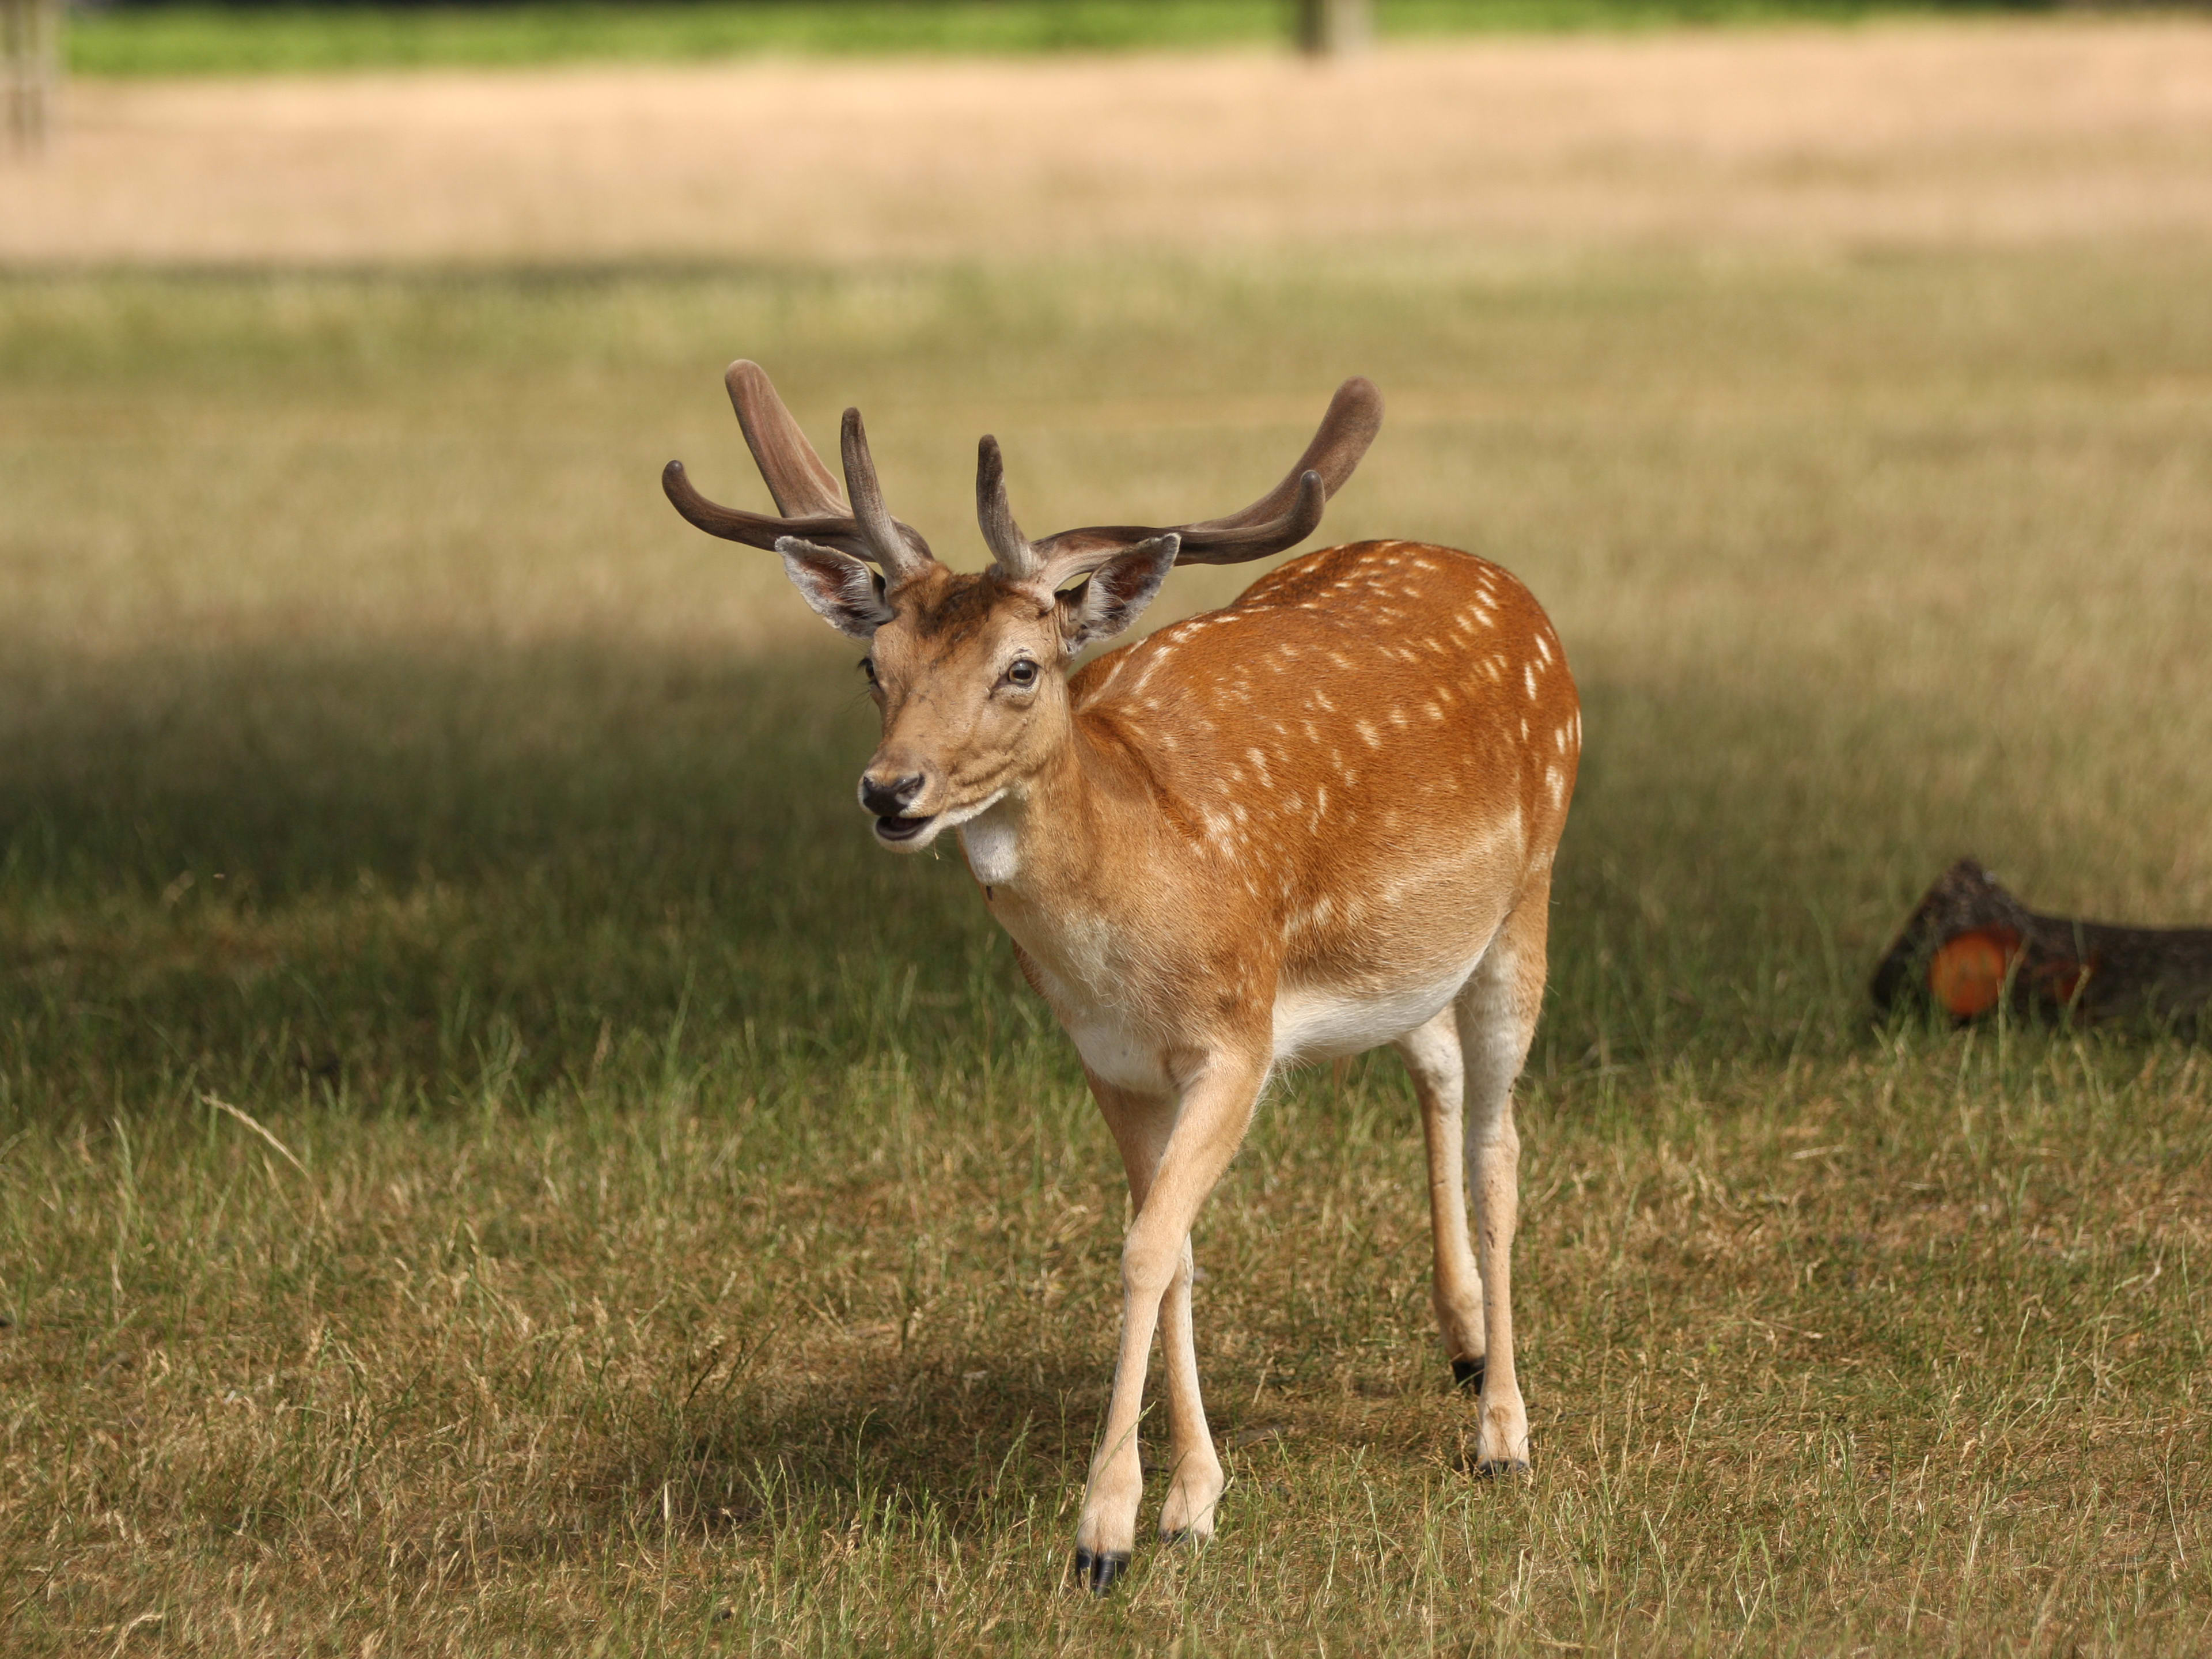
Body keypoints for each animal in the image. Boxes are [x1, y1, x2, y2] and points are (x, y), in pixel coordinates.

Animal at [663, 362, 1580, 1593]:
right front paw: (1191, 1498)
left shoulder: (1237, 1035)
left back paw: (1503, 1431)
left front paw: (1105, 1530)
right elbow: (1175, 1245)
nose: (890, 791)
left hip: (1527, 893)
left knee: (1501, 1149)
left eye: (1021, 668)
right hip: (1404, 957)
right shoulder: (1110, 1061)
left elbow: (1145, 1248)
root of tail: (1503, 580)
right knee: (1432, 1066)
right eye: (874, 665)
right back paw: (1466, 1346)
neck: (1138, 914)